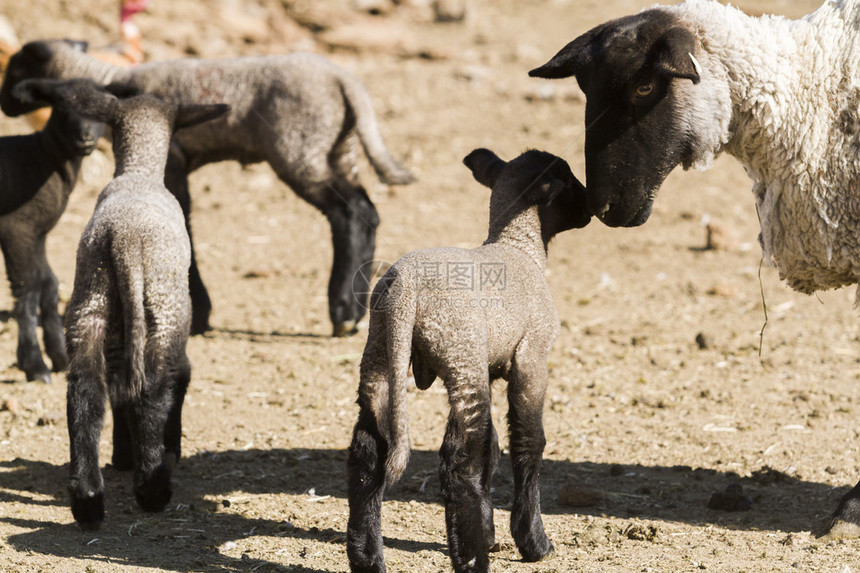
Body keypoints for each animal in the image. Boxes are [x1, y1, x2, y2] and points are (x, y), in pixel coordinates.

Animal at [0, 39, 416, 336]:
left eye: (16, 67)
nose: (6, 105)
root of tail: (345, 80)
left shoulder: (174, 161)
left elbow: (183, 220)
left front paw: (198, 313)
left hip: (301, 148)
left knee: (348, 212)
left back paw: (342, 309)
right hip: (341, 148)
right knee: (366, 210)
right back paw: (356, 309)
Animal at [0, 78, 103, 380]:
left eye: (104, 106)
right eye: (62, 106)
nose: (85, 138)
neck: (41, 158)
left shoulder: (38, 232)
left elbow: (49, 282)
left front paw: (60, 356)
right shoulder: (16, 227)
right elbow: (28, 287)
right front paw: (34, 364)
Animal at [17, 78, 232, 528]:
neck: (139, 172)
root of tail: (123, 239)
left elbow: (115, 397)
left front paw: (121, 456)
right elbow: (174, 385)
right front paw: (166, 452)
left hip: (88, 308)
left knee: (86, 393)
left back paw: (87, 499)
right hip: (162, 314)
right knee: (151, 391)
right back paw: (153, 488)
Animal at [344, 149, 592, 572]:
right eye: (568, 178)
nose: (593, 207)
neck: (519, 246)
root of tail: (405, 288)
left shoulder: (488, 365)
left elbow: (492, 448)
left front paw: (492, 532)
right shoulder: (531, 357)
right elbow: (528, 442)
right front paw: (533, 542)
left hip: (382, 354)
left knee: (368, 451)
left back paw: (368, 559)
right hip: (460, 353)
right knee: (459, 465)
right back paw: (473, 559)